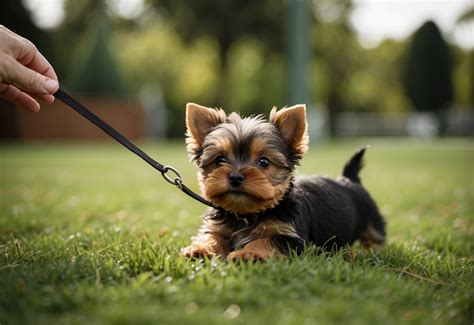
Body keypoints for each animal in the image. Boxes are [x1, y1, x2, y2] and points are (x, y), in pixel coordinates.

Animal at [181, 104, 386, 260]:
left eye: (264, 162)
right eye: (220, 160)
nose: (235, 177)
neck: (246, 213)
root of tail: (348, 179)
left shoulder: (291, 237)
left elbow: (266, 240)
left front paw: (247, 254)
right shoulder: (219, 227)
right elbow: (213, 236)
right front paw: (200, 249)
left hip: (371, 217)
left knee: (375, 237)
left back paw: (370, 251)